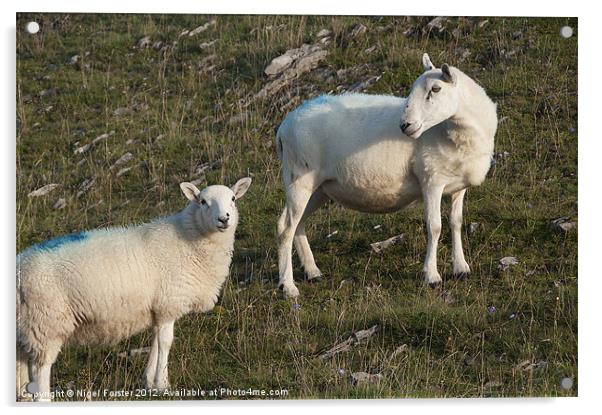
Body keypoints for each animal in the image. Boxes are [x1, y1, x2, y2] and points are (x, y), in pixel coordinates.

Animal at [16, 177, 251, 402]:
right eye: (203, 201)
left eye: (233, 199)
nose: (224, 219)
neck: (188, 238)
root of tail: (20, 266)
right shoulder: (168, 302)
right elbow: (166, 342)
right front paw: (163, 384)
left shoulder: (157, 307)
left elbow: (156, 341)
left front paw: (150, 383)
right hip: (46, 321)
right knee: (40, 367)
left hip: (25, 324)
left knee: (20, 361)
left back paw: (24, 395)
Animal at [274, 52, 494, 300]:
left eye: (435, 89)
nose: (405, 125)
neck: (456, 131)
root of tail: (284, 126)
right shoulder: (431, 180)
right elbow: (435, 226)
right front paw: (431, 276)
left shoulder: (458, 187)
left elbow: (456, 222)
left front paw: (461, 268)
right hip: (298, 178)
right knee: (285, 228)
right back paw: (288, 286)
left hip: (319, 187)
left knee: (298, 223)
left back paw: (313, 272)